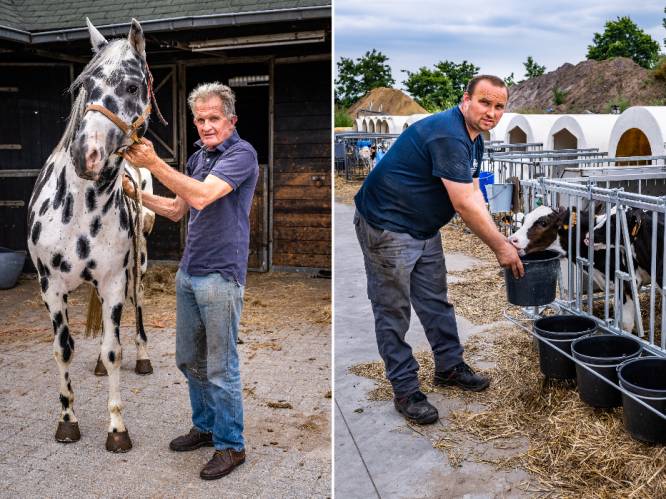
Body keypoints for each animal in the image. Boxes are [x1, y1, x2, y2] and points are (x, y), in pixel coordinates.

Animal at [26, 18, 162, 454]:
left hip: (137, 268)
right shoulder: (50, 286)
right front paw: (67, 420)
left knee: (136, 312)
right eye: (85, 84)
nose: (86, 155)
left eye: (133, 87)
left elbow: (114, 348)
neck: (81, 210)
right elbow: (63, 349)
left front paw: (117, 428)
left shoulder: (114, 280)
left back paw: (143, 356)